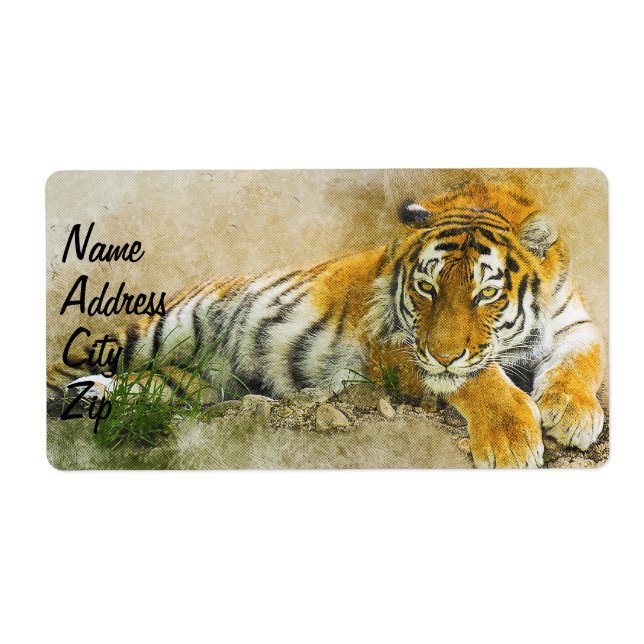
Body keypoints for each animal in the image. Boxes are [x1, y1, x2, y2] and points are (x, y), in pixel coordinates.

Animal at [48, 180, 606, 468]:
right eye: (426, 288)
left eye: (486, 293)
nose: (444, 353)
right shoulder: (393, 342)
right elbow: (478, 378)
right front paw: (512, 441)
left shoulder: (575, 322)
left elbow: (584, 361)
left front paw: (572, 413)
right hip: (155, 332)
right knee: (65, 367)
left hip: (191, 380)